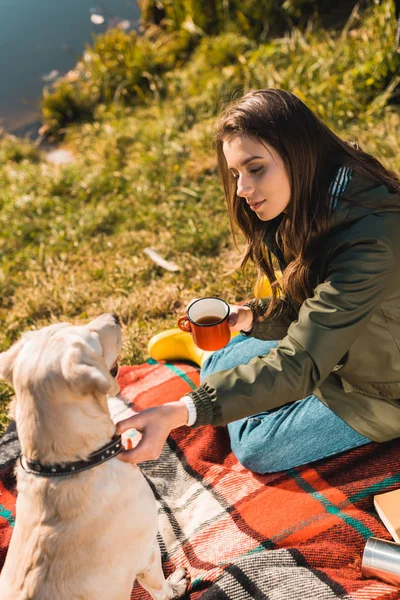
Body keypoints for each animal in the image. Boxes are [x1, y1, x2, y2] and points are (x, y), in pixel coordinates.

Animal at [0, 314, 189, 600]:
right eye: (96, 339)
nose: (114, 316)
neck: (67, 465)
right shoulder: (147, 554)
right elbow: (160, 588)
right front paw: (175, 586)